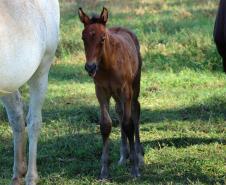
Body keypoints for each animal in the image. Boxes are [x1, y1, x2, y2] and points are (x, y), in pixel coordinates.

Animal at [0, 0, 59, 184]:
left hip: (42, 69)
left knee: (34, 121)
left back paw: (31, 177)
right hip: (10, 80)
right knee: (17, 117)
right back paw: (18, 174)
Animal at [78, 7, 144, 179]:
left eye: (102, 39)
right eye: (83, 38)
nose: (90, 67)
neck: (108, 64)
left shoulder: (126, 90)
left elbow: (128, 125)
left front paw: (135, 169)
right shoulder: (101, 91)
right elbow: (105, 125)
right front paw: (104, 171)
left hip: (134, 86)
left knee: (135, 111)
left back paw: (139, 156)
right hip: (115, 93)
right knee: (120, 112)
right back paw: (123, 157)